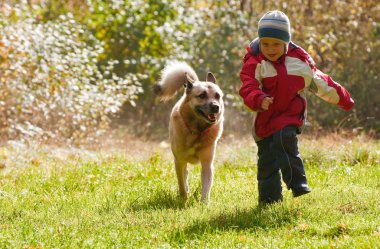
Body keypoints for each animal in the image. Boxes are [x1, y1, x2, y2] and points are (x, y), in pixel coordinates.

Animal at [153, 60, 224, 202]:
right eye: (202, 95)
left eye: (217, 96)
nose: (216, 107)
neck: (196, 130)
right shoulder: (179, 161)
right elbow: (181, 183)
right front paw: (183, 199)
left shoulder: (207, 163)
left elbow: (206, 186)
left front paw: (204, 203)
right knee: (184, 177)